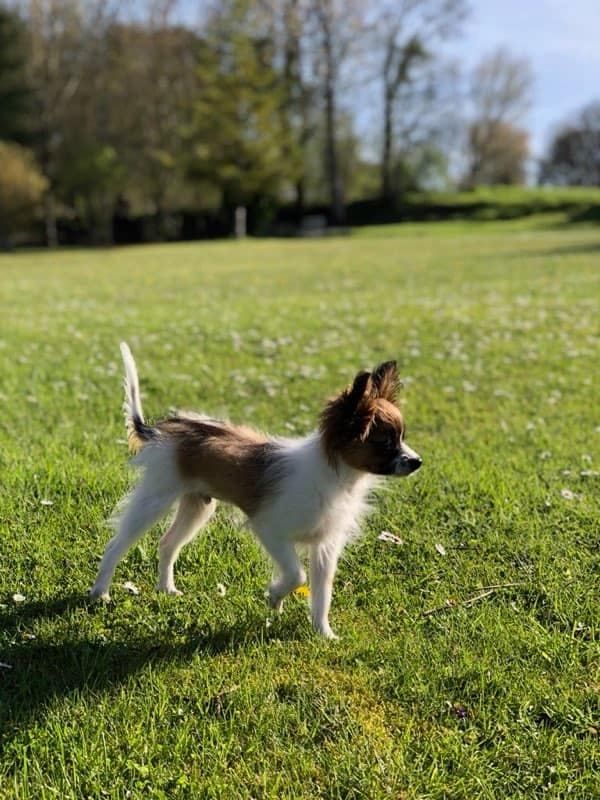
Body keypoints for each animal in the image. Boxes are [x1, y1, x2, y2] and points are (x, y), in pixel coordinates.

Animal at [92, 344, 422, 636]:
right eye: (384, 443)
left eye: (402, 437)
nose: (418, 462)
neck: (337, 477)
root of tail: (159, 431)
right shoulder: (269, 529)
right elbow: (296, 574)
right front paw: (275, 598)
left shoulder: (325, 547)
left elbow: (321, 594)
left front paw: (323, 633)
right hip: (156, 498)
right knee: (116, 544)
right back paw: (100, 593)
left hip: (197, 506)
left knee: (167, 544)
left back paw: (166, 589)